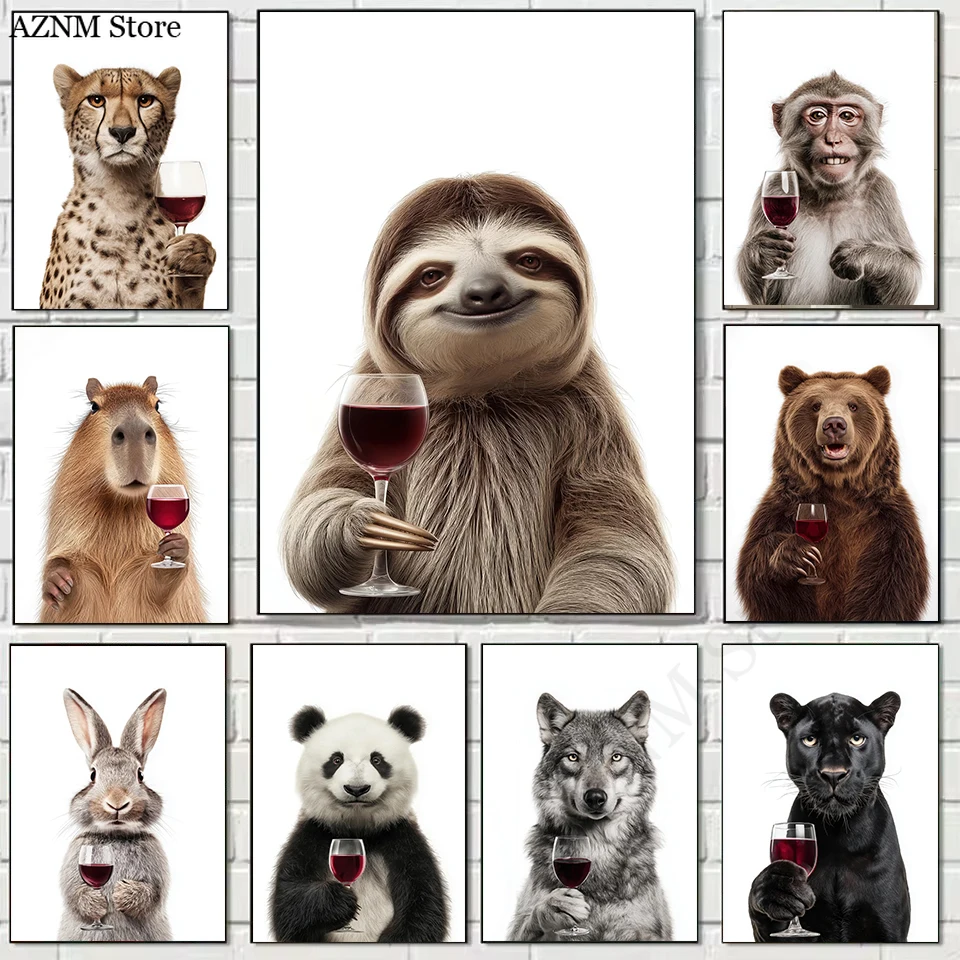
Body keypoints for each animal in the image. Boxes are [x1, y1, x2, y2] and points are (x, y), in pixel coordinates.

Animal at [39, 377, 206, 624]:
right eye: (94, 406)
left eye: (157, 405)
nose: (134, 430)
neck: (121, 507)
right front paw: (58, 581)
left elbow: (158, 590)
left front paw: (177, 549)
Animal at [281, 173, 675, 615]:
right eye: (432, 275)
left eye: (529, 260)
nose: (485, 290)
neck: (482, 391)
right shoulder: (376, 389)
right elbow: (320, 510)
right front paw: (361, 523)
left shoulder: (591, 414)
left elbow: (614, 538)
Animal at [736, 71, 921, 307]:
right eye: (817, 115)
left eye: (847, 116)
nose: (833, 139)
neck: (831, 197)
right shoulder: (775, 186)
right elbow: (765, 300)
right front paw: (763, 252)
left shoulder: (881, 191)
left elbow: (907, 279)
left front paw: (860, 254)